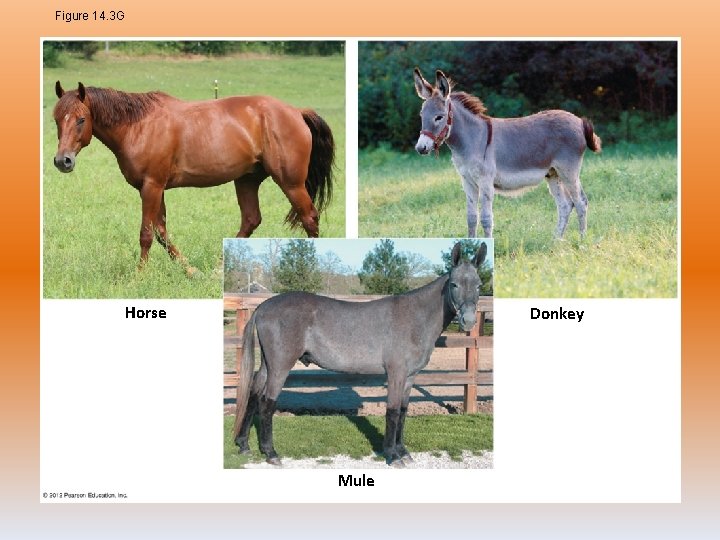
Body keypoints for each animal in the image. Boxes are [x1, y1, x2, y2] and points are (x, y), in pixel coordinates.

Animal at [52, 82, 334, 273]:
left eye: (81, 119)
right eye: (56, 120)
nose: (62, 161)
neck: (138, 126)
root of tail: (297, 112)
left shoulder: (152, 186)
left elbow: (146, 234)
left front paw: (138, 276)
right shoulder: (155, 188)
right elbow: (161, 232)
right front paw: (190, 271)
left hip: (291, 183)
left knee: (310, 218)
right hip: (247, 180)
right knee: (251, 220)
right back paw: (219, 269)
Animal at [233, 241, 487, 467]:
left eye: (478, 285)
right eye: (454, 284)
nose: (468, 320)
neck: (415, 318)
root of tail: (263, 307)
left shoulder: (409, 377)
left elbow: (403, 412)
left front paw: (403, 452)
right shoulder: (396, 374)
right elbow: (393, 412)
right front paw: (392, 455)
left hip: (268, 365)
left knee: (254, 394)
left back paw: (244, 444)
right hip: (280, 366)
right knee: (267, 402)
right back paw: (271, 453)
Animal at [413, 68, 601, 239]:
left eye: (439, 117)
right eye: (421, 115)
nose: (421, 148)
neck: (472, 139)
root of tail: (579, 120)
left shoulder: (486, 182)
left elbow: (486, 219)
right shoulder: (467, 181)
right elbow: (471, 218)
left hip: (568, 171)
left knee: (581, 202)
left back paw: (582, 241)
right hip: (553, 173)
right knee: (565, 205)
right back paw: (556, 241)